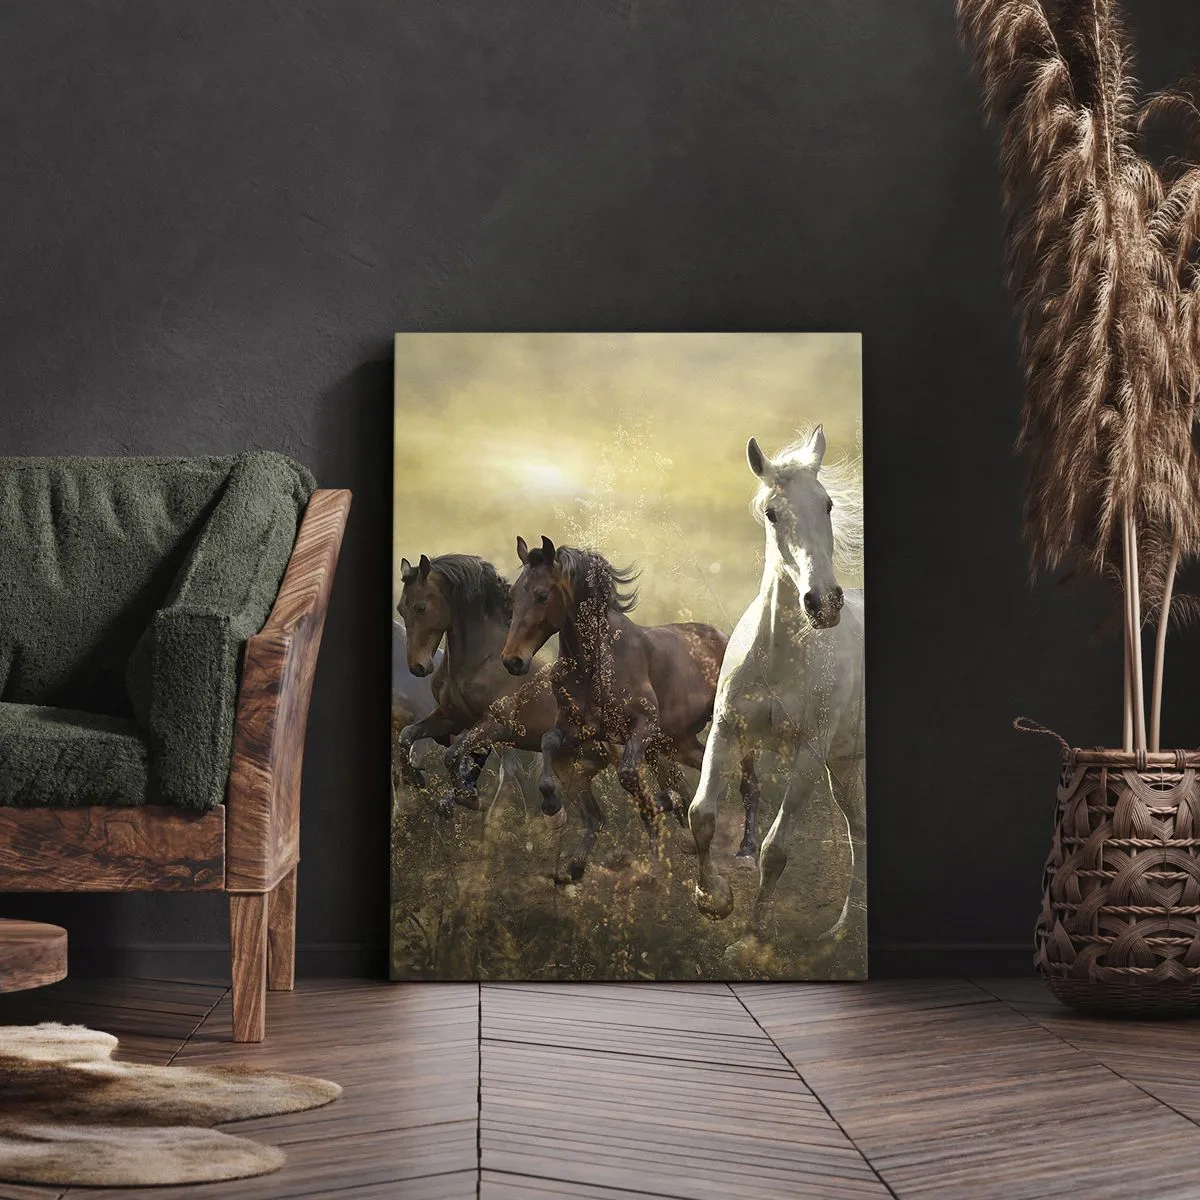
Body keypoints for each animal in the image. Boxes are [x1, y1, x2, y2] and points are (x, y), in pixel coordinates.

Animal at [502, 536, 760, 864]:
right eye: (512, 594)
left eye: (542, 595)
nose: (513, 661)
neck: (596, 663)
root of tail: (725, 639)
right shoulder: (580, 729)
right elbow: (548, 742)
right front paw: (551, 809)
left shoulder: (643, 724)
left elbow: (628, 776)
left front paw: (661, 805)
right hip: (677, 741)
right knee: (708, 766)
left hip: (731, 724)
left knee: (749, 782)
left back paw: (747, 851)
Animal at [687, 425, 865, 938]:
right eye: (772, 512)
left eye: (827, 504)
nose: (824, 603)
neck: (782, 657)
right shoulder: (727, 731)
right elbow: (701, 815)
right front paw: (714, 899)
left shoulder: (809, 754)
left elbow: (776, 849)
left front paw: (754, 935)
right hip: (844, 767)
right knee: (859, 831)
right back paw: (842, 930)